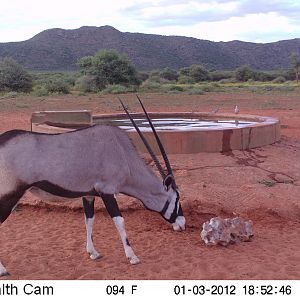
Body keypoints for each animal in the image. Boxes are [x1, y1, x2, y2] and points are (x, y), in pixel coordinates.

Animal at [0, 96, 186, 276]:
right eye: (177, 198)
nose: (183, 224)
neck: (123, 154)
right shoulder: (107, 192)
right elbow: (119, 221)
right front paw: (132, 257)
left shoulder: (88, 194)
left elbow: (89, 220)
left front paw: (93, 253)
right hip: (10, 196)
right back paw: (3, 270)